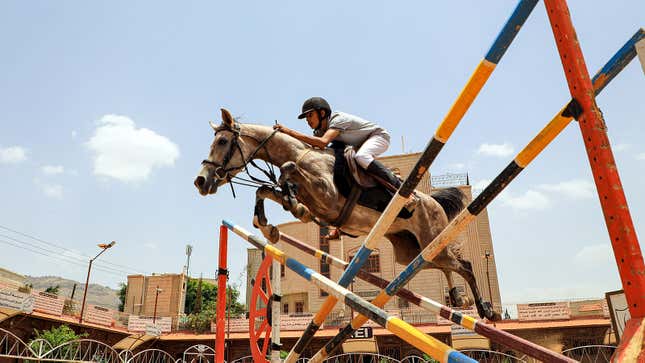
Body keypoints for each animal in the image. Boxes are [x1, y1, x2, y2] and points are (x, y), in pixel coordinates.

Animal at [194, 109, 500, 322]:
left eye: (223, 141)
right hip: (411, 251)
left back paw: (485, 309)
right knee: (443, 264)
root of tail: (432, 200)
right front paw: (269, 226)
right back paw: (457, 299)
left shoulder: (327, 197)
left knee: (465, 265)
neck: (304, 154)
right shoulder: (314, 204)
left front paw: (290, 202)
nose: (201, 181)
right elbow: (264, 190)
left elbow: (287, 171)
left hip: (429, 238)